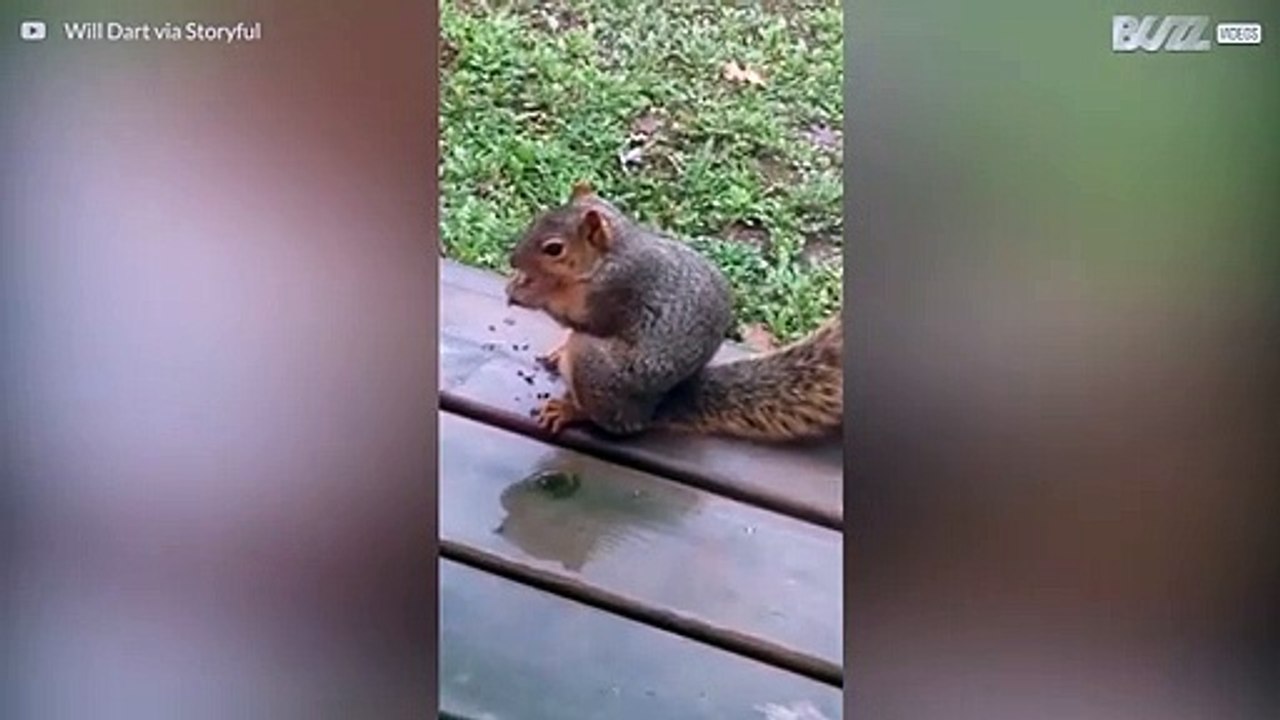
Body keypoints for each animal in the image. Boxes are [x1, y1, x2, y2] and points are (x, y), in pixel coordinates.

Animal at [504, 181, 842, 443]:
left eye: (554, 249)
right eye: (537, 219)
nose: (512, 260)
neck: (610, 255)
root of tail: (653, 409)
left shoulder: (614, 291)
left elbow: (581, 317)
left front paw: (529, 292)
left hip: (596, 368)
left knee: (606, 419)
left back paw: (570, 410)